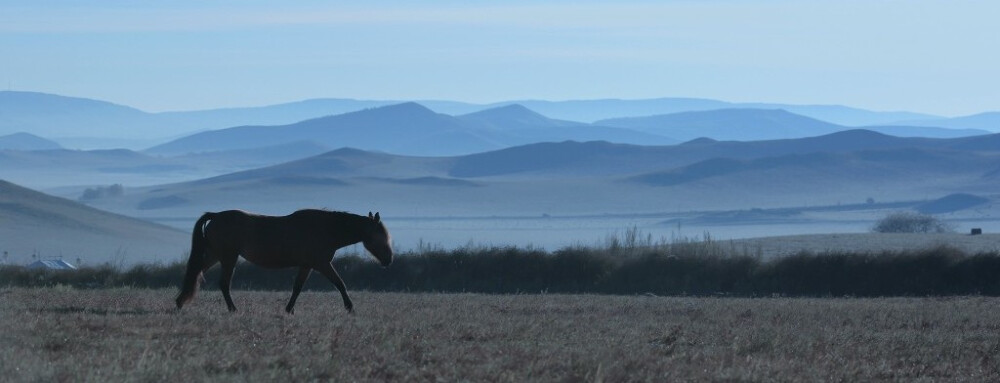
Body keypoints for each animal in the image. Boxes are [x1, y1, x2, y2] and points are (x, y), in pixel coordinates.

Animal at [172, 210, 390, 316]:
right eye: (380, 236)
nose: (389, 259)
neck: (326, 229)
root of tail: (216, 216)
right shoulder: (321, 264)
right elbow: (340, 284)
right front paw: (350, 308)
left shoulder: (307, 265)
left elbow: (297, 288)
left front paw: (289, 309)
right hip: (227, 257)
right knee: (223, 284)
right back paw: (232, 309)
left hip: (215, 255)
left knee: (196, 273)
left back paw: (180, 301)